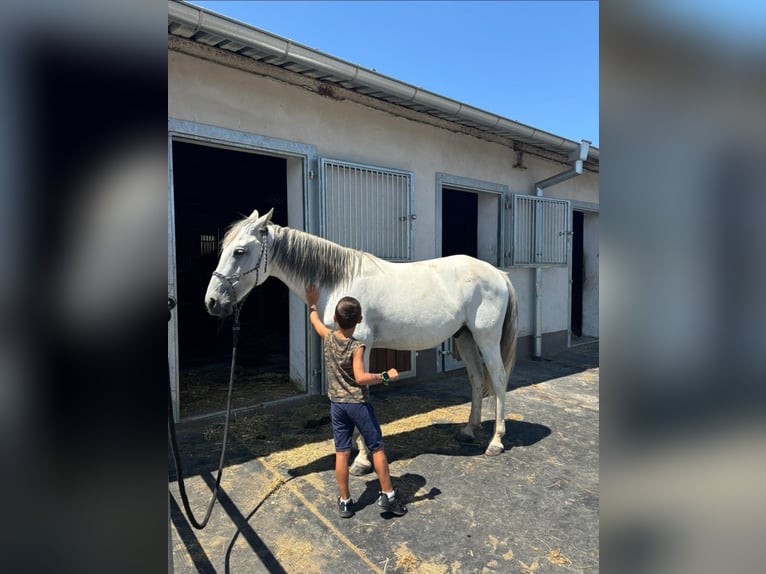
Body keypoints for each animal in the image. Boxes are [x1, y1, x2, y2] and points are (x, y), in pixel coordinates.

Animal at [204, 208, 518, 473]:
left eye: (240, 251)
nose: (212, 302)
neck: (339, 281)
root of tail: (499, 275)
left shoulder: (361, 345)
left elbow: (359, 392)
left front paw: (362, 460)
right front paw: (358, 450)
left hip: (486, 338)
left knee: (498, 379)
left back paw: (496, 442)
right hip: (465, 337)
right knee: (476, 378)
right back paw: (469, 430)